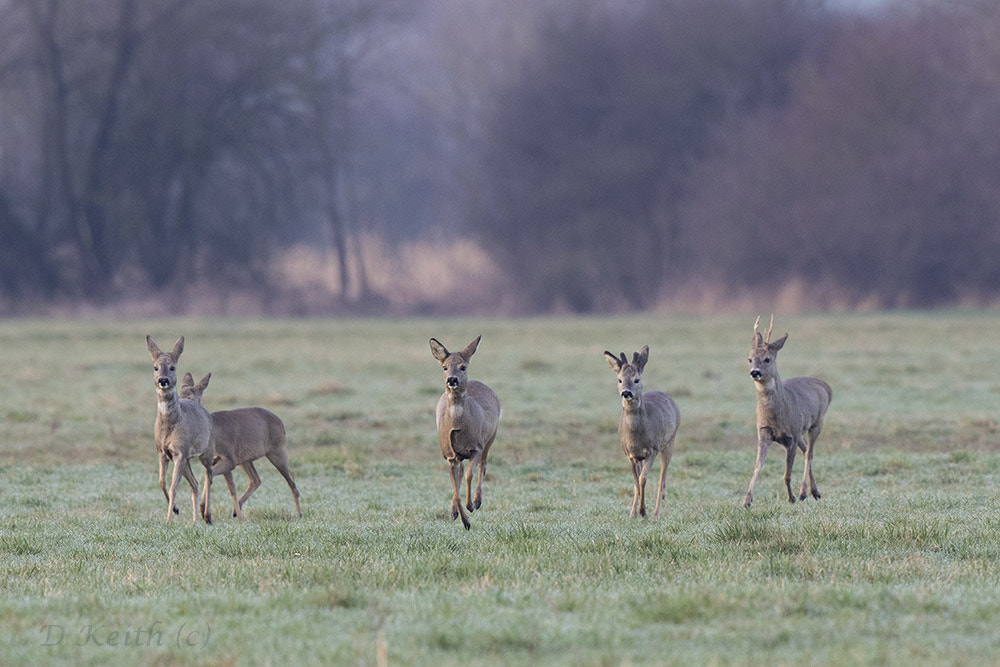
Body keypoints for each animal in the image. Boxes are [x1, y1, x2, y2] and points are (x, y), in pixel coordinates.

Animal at [145, 336, 213, 524]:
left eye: (172, 367)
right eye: (155, 367)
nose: (163, 380)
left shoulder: (180, 453)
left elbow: (174, 486)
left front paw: (168, 519)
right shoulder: (163, 452)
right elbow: (162, 481)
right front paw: (175, 509)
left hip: (208, 450)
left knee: (209, 476)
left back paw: (207, 515)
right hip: (188, 459)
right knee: (195, 483)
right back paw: (195, 519)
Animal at [179, 374, 300, 520]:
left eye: (191, 397)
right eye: (178, 394)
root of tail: (280, 422)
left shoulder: (229, 459)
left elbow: (218, 481)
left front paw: (205, 511)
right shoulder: (219, 460)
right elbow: (228, 486)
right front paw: (204, 510)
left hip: (277, 451)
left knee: (291, 482)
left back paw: (299, 514)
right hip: (246, 459)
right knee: (256, 480)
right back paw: (236, 511)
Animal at [428, 336, 500, 528]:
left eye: (463, 367)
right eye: (444, 367)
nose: (452, 379)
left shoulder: (476, 447)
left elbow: (469, 475)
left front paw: (471, 506)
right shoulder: (450, 455)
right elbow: (455, 484)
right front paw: (463, 519)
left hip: (491, 437)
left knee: (483, 466)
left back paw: (478, 501)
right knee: (461, 475)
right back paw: (455, 511)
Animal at [600, 348, 680, 520]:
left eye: (637, 380)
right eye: (620, 380)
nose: (626, 392)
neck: (635, 438)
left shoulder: (652, 450)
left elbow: (643, 479)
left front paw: (644, 512)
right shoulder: (629, 454)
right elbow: (636, 483)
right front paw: (633, 514)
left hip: (669, 442)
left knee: (662, 481)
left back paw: (656, 515)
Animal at [748, 316, 832, 508]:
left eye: (767, 359)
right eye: (749, 359)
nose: (754, 372)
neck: (776, 416)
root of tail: (827, 386)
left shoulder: (791, 436)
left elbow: (786, 474)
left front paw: (792, 497)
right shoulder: (764, 434)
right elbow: (757, 467)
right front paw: (747, 500)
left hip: (817, 423)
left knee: (810, 453)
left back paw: (803, 492)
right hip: (801, 430)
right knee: (806, 449)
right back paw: (815, 492)